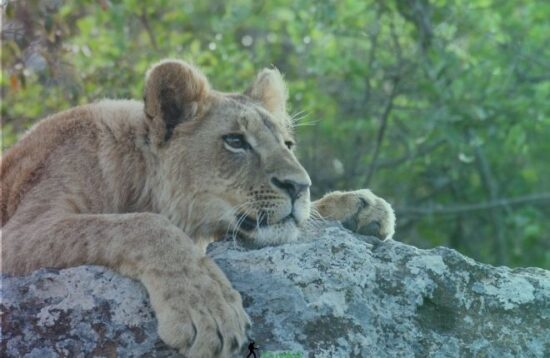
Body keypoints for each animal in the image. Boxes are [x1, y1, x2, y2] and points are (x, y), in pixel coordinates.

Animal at [0, 60, 396, 356]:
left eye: (288, 144)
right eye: (235, 141)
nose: (300, 186)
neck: (137, 175)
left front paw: (360, 206)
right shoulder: (18, 233)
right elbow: (144, 225)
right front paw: (207, 308)